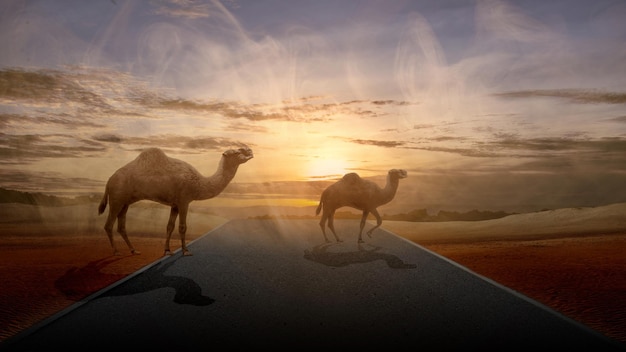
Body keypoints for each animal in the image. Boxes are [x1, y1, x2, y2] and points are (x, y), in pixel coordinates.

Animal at [98, 146, 252, 256]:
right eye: (236, 152)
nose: (249, 150)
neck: (199, 183)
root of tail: (109, 181)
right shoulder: (184, 200)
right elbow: (182, 227)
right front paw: (185, 251)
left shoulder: (175, 204)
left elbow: (169, 226)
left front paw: (167, 250)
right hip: (117, 198)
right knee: (108, 225)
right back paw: (116, 252)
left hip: (125, 202)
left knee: (121, 226)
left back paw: (134, 250)